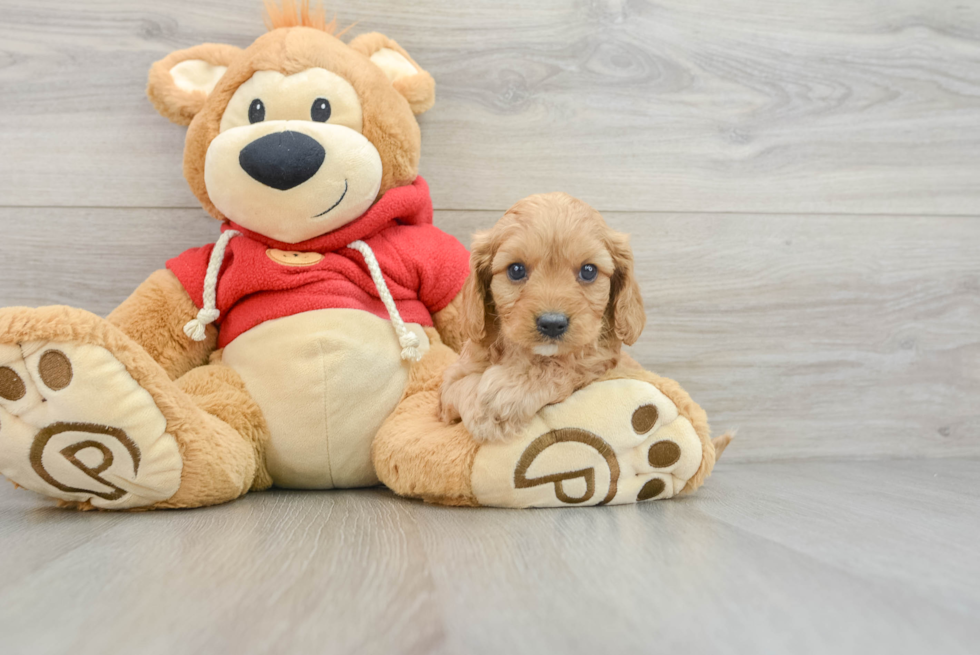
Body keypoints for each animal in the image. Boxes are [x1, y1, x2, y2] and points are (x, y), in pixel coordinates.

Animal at [442, 192, 644, 444]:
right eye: (516, 269)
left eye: (589, 271)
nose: (552, 324)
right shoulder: (449, 387)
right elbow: (460, 387)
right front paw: (485, 415)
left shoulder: (602, 362)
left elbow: (566, 367)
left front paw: (504, 395)